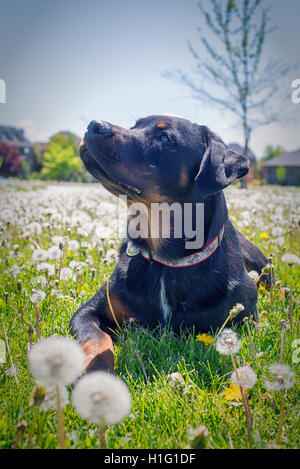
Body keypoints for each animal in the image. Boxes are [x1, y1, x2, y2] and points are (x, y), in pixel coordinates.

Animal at [70, 115, 268, 372]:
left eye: (165, 138)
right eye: (134, 126)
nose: (94, 125)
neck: (166, 260)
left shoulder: (244, 317)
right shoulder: (90, 310)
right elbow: (96, 338)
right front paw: (97, 372)